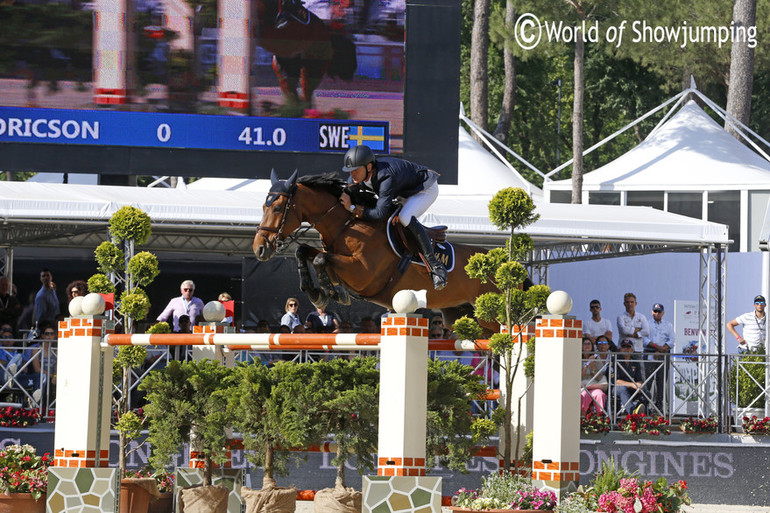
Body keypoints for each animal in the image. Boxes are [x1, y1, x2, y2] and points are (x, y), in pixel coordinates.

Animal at [249, 172, 496, 324]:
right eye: (262, 207)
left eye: (277, 208)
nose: (259, 248)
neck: (348, 226)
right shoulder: (335, 256)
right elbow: (305, 252)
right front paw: (316, 293)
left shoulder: (363, 274)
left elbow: (321, 260)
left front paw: (330, 291)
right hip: (460, 315)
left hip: (489, 314)